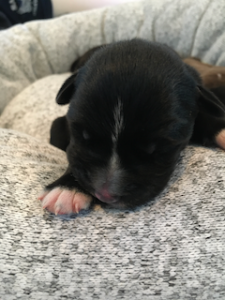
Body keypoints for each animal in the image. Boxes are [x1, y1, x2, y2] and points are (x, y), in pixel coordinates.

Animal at [38, 38, 225, 214]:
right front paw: (67, 189)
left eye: (160, 150)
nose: (105, 194)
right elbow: (74, 156)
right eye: (81, 135)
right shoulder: (61, 127)